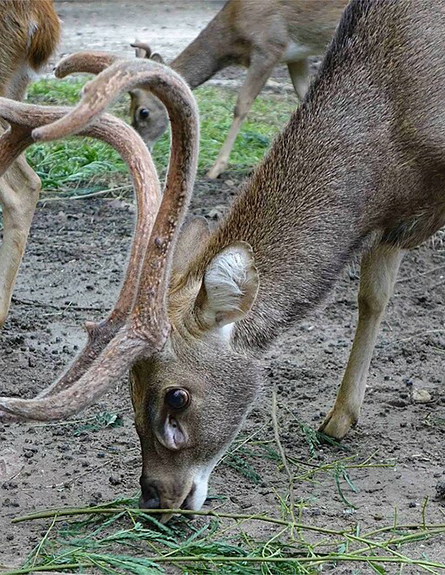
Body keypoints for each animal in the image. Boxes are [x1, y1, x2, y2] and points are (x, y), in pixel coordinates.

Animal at [128, 0, 346, 179]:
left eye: (143, 112)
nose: (141, 148)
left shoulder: (269, 49)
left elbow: (241, 106)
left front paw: (215, 169)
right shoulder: (296, 56)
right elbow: (305, 95)